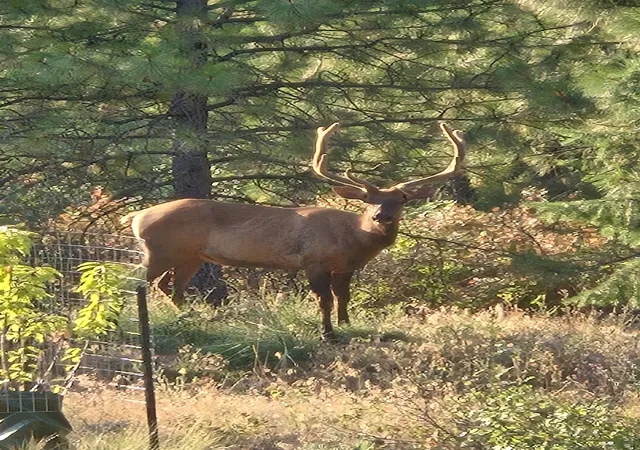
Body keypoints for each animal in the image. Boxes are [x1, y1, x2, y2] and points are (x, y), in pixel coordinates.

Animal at [123, 122, 466, 338]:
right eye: (368, 200)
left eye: (401, 199)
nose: (381, 216)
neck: (351, 239)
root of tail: (136, 216)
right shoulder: (313, 260)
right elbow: (324, 300)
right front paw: (327, 333)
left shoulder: (345, 267)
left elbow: (343, 297)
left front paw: (346, 324)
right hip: (160, 250)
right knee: (138, 282)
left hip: (189, 255)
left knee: (170, 287)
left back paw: (189, 317)